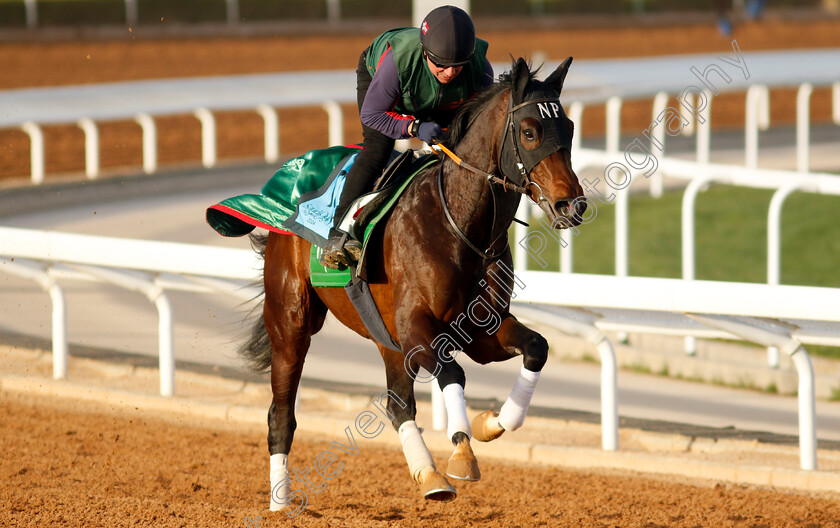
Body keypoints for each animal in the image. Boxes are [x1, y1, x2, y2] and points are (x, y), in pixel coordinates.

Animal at [241, 56, 584, 512]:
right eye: (530, 131)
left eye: (569, 128)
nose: (573, 205)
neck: (459, 224)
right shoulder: (416, 327)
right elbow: (452, 371)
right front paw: (462, 453)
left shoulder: (479, 330)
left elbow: (536, 348)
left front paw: (492, 423)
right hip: (291, 324)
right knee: (281, 413)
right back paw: (280, 501)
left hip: (385, 336)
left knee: (398, 405)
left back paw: (430, 476)